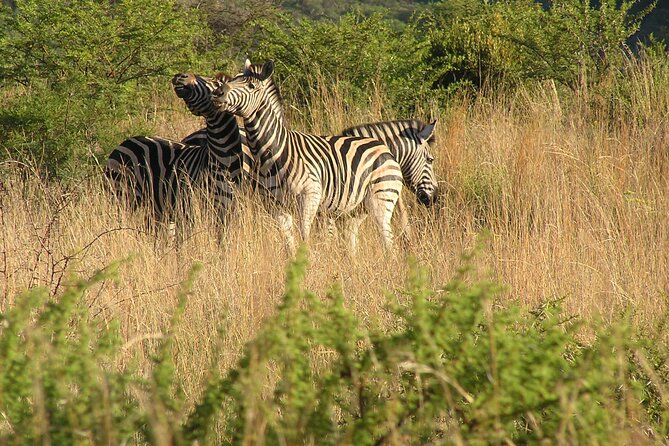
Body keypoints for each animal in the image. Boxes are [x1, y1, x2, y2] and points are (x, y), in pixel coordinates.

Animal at [211, 59, 404, 251]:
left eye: (251, 86)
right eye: (233, 79)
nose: (218, 92)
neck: (271, 153)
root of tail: (383, 147)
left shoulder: (309, 197)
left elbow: (305, 238)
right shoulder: (276, 206)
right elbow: (289, 245)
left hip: (381, 198)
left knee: (389, 242)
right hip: (355, 210)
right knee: (353, 238)